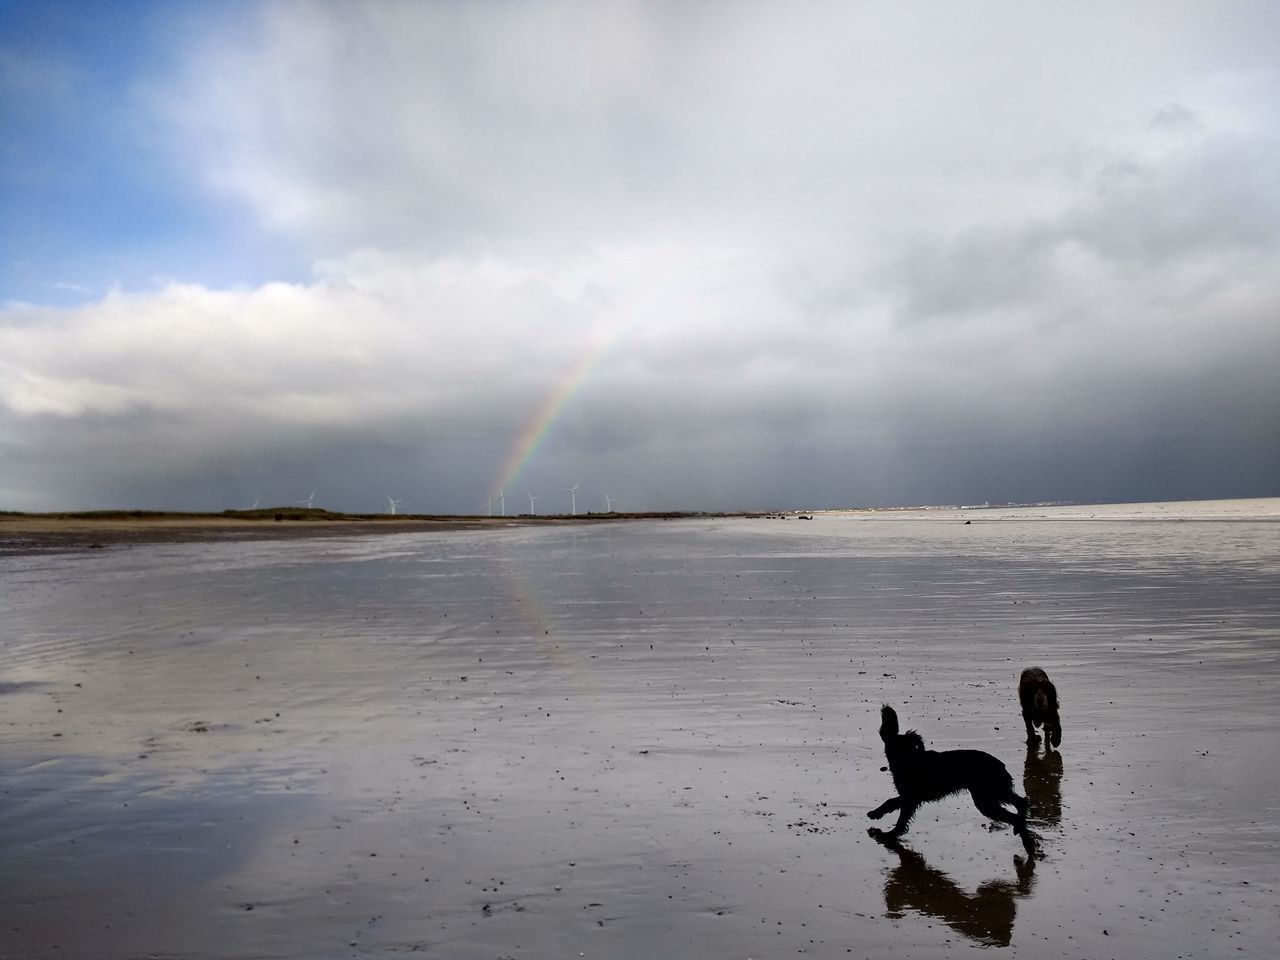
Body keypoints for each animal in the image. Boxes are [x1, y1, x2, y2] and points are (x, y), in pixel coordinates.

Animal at [865, 701, 1034, 855]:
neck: (908, 759)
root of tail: (1000, 765)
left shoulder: (910, 798)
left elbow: (898, 814)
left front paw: (887, 832)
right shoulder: (910, 797)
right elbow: (893, 804)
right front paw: (878, 817)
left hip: (986, 798)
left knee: (1015, 815)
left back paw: (1028, 844)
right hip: (994, 792)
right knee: (1021, 803)